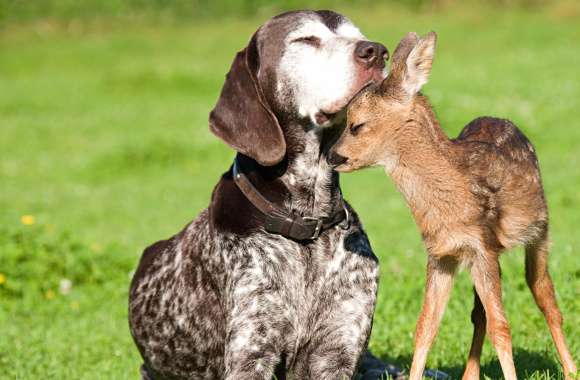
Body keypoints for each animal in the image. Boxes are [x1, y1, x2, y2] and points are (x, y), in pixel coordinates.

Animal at [127, 10, 390, 378]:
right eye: (305, 40)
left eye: (359, 35)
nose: (376, 51)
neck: (306, 225)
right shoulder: (252, 353)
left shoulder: (337, 351)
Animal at [328, 32, 576, 380]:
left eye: (357, 125)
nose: (333, 156)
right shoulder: (441, 253)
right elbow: (426, 326)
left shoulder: (482, 245)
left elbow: (502, 326)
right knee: (479, 313)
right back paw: (470, 374)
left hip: (539, 232)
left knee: (544, 295)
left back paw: (570, 368)